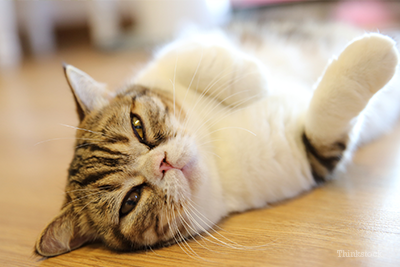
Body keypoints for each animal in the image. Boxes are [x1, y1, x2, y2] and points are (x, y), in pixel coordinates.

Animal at [33, 22, 400, 258]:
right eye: (130, 201)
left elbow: (196, 56)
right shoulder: (311, 152)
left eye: (138, 126)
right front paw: (378, 53)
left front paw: (254, 80)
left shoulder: (176, 51)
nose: (162, 162)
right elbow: (329, 108)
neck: (215, 146)